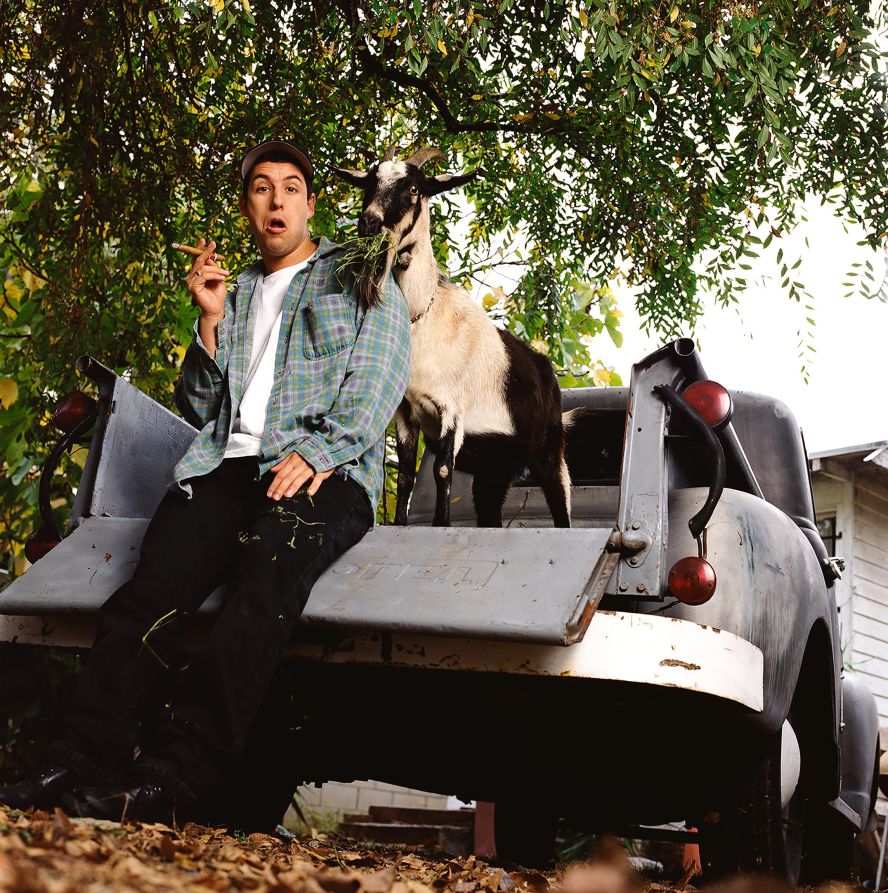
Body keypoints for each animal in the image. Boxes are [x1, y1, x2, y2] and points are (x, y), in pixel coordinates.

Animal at [332, 143, 568, 528]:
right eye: (369, 181)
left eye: (414, 188)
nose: (369, 222)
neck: (423, 317)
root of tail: (544, 369)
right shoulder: (406, 413)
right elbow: (407, 475)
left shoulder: (452, 411)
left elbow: (442, 471)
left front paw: (441, 524)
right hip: (495, 468)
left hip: (550, 453)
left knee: (561, 506)